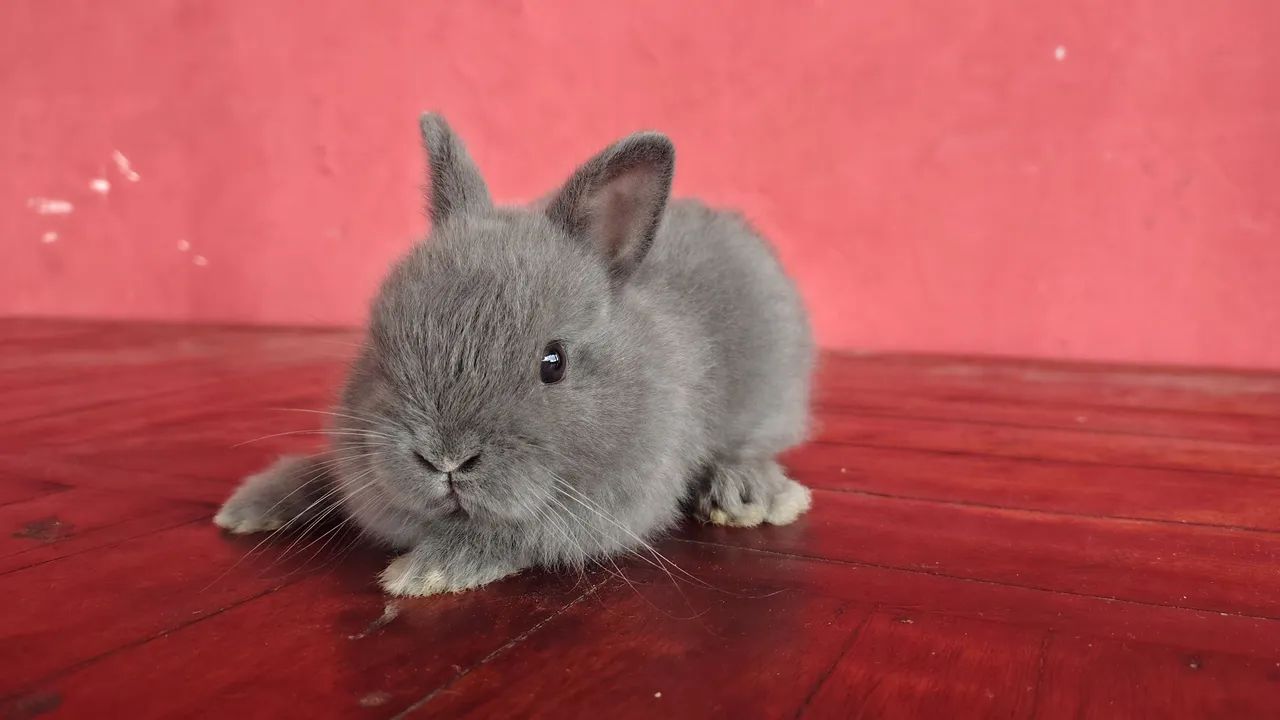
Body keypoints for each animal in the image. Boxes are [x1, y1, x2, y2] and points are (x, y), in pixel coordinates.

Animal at [214, 113, 815, 596]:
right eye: (381, 341)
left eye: (554, 362)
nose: (445, 459)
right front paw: (252, 506)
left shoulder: (609, 508)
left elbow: (518, 533)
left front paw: (425, 572)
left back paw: (752, 493)